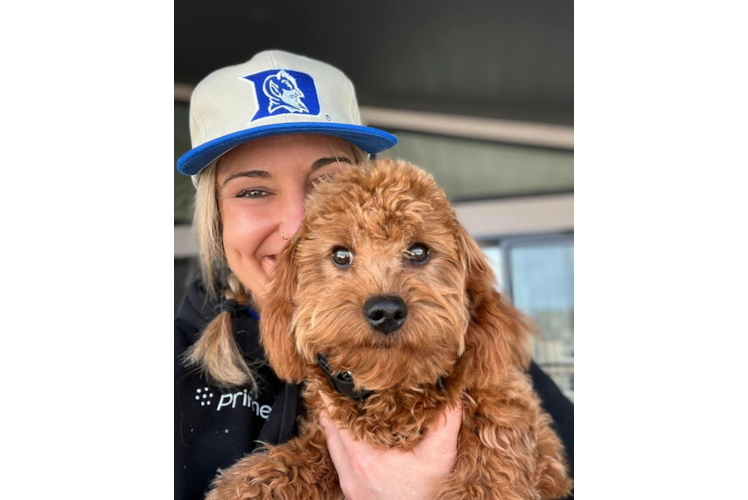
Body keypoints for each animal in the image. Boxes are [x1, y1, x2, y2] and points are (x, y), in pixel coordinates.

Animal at [207, 158, 576, 498]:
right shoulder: (326, 433)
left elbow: (488, 475)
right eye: (341, 255)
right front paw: (249, 483)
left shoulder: (506, 422)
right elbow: (303, 457)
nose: (385, 310)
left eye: (419, 251)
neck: (394, 392)